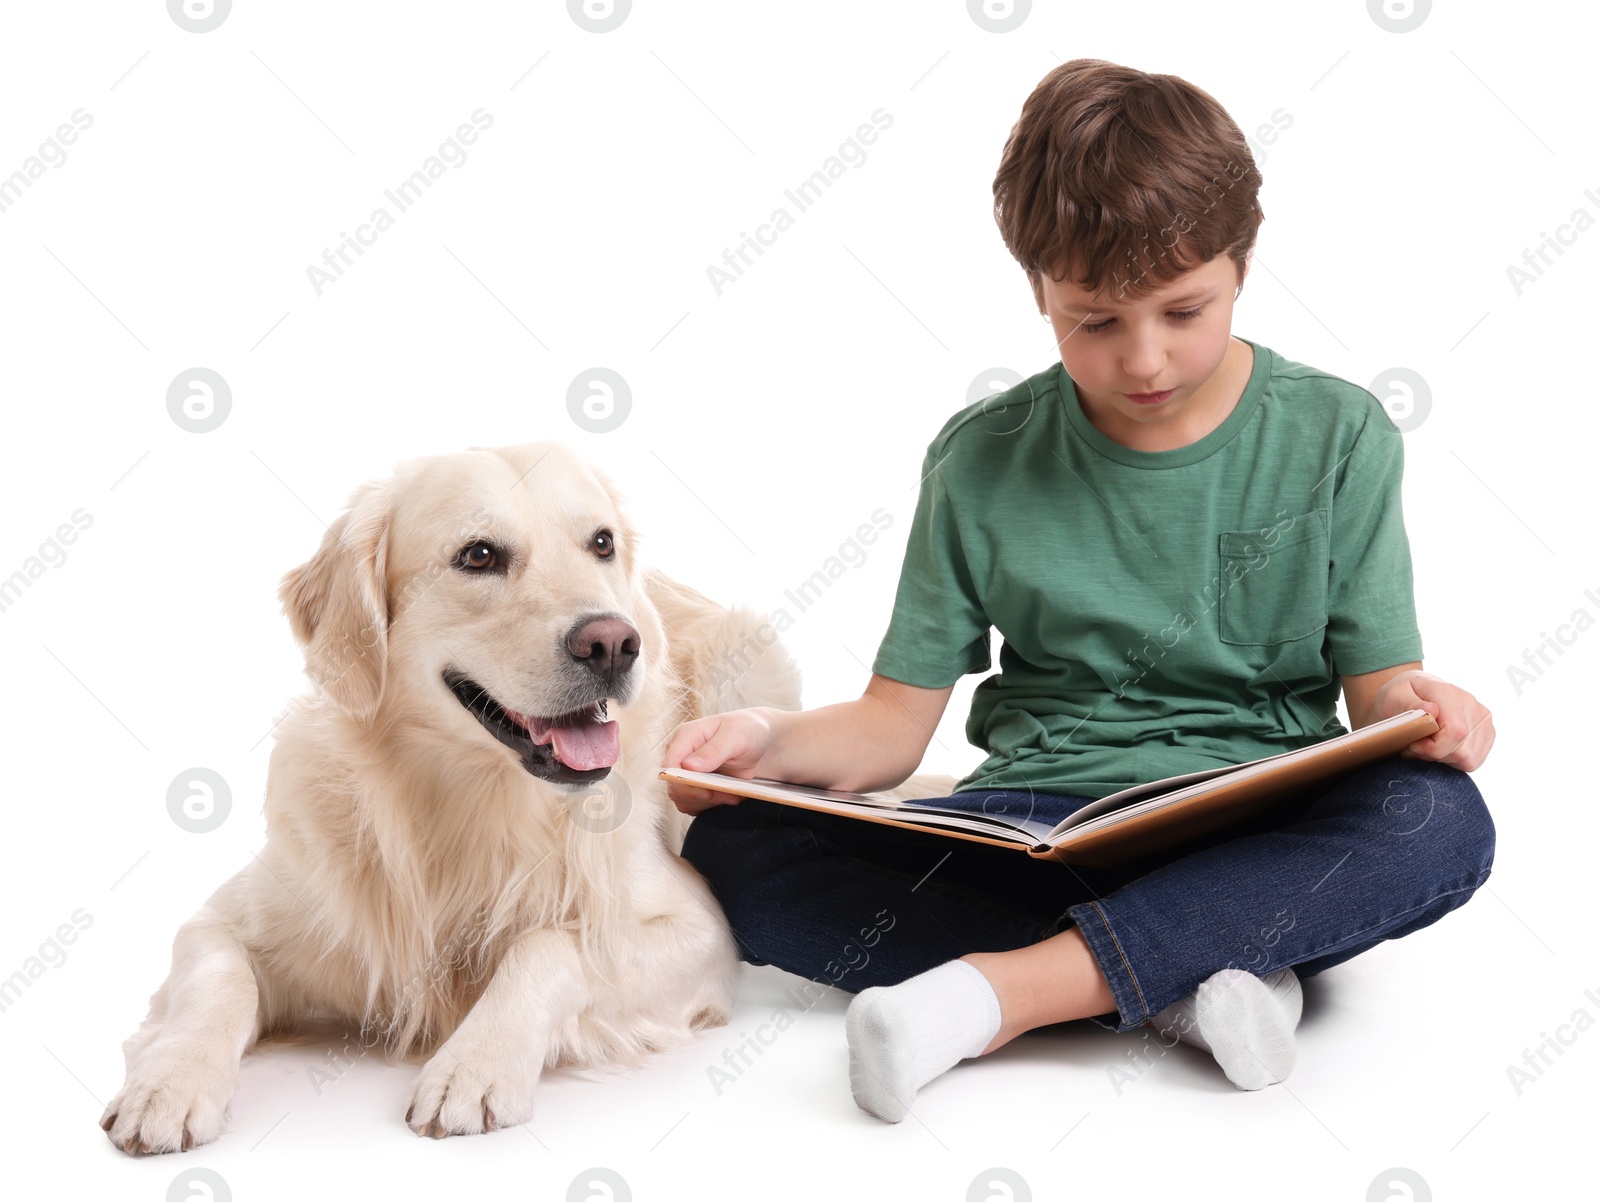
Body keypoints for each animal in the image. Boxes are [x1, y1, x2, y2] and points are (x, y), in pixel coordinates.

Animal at [93, 438, 800, 1152]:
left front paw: (475, 1066)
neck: (466, 799)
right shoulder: (226, 918)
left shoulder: (702, 931)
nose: (612, 643)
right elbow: (220, 975)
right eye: (478, 555)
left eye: (601, 543)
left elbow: (547, 945)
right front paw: (171, 1081)